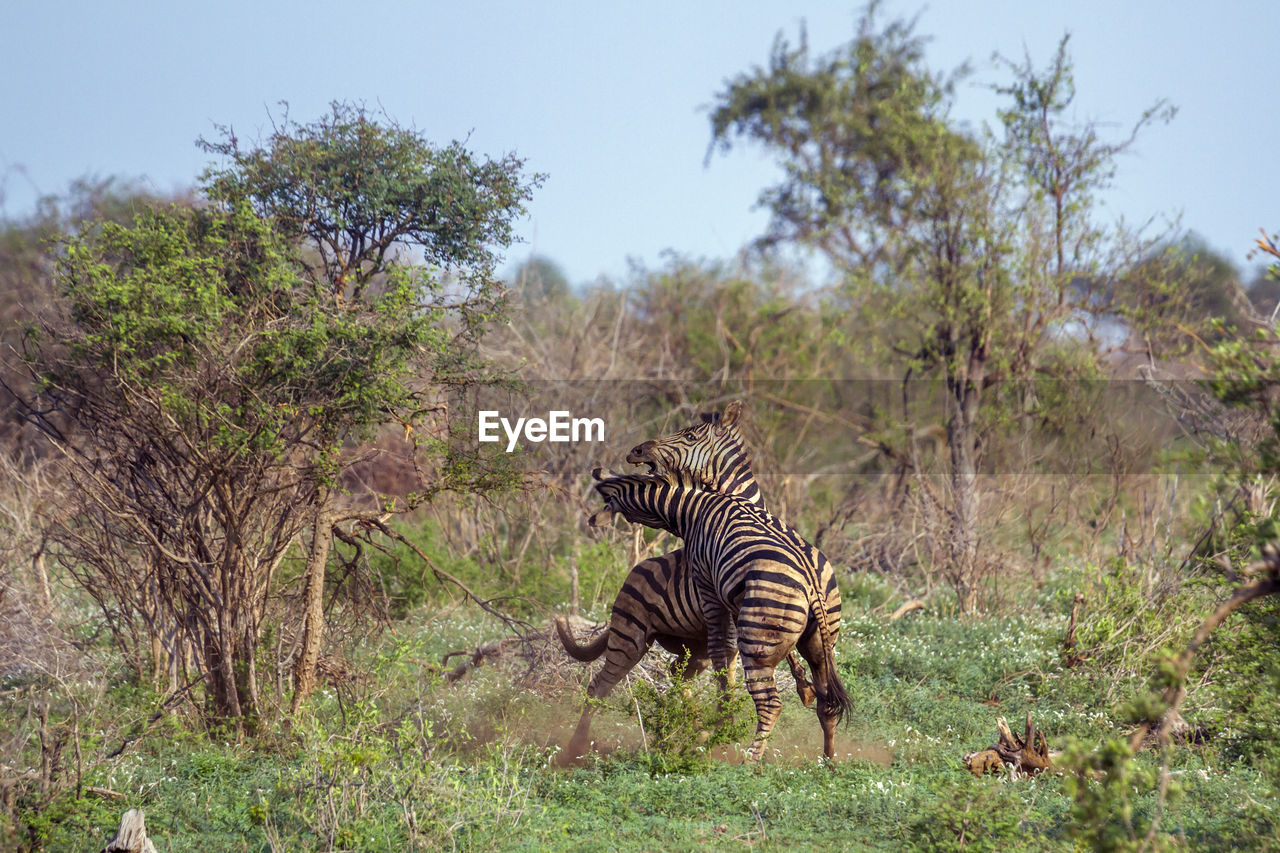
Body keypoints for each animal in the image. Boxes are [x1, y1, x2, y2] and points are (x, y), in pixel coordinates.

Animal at [555, 399, 814, 758]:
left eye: (690, 435)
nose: (636, 451)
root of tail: (631, 576)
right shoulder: (725, 620)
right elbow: (728, 680)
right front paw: (723, 731)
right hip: (631, 637)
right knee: (600, 685)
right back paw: (575, 750)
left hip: (689, 646)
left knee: (675, 673)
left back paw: (691, 730)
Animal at [588, 466, 849, 758]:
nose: (593, 519)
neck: (692, 509)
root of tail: (811, 582)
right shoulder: (733, 602)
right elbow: (727, 654)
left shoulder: (707, 584)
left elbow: (718, 649)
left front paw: (722, 723)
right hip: (821, 640)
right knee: (826, 702)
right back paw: (827, 761)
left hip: (759, 642)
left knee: (770, 703)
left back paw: (750, 761)